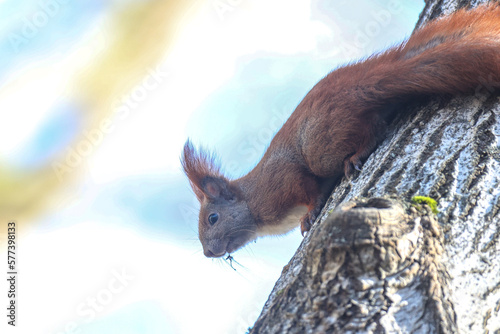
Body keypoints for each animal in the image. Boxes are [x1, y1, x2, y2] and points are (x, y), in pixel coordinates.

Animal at [182, 3, 500, 258]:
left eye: (212, 218)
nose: (208, 253)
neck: (251, 200)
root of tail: (364, 84)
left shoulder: (281, 183)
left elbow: (307, 189)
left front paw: (310, 212)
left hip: (322, 146)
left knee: (372, 128)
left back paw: (357, 155)